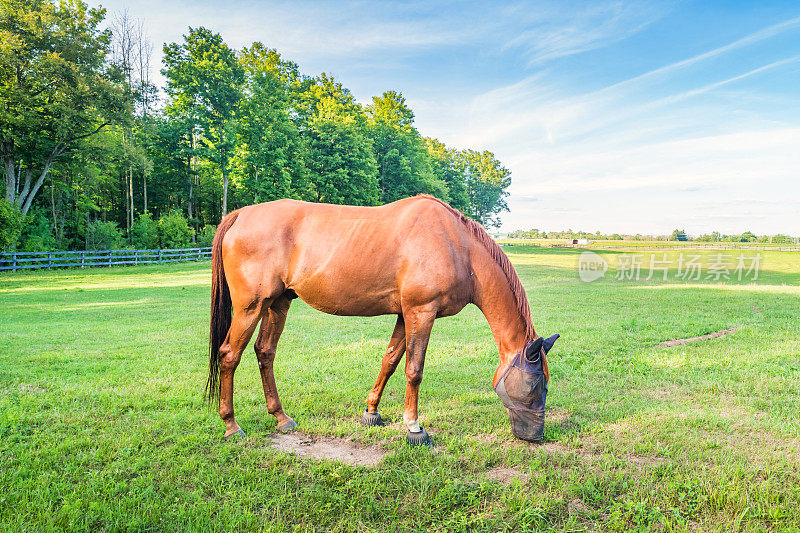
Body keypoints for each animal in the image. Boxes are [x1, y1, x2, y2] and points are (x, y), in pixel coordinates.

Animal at [206, 195, 556, 444]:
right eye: (537, 383)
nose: (536, 436)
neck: (456, 245)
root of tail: (241, 215)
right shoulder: (421, 312)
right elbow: (414, 370)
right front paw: (414, 428)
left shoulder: (405, 314)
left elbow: (390, 361)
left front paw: (371, 412)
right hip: (251, 307)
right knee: (229, 355)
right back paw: (231, 425)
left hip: (277, 304)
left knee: (265, 353)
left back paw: (281, 418)